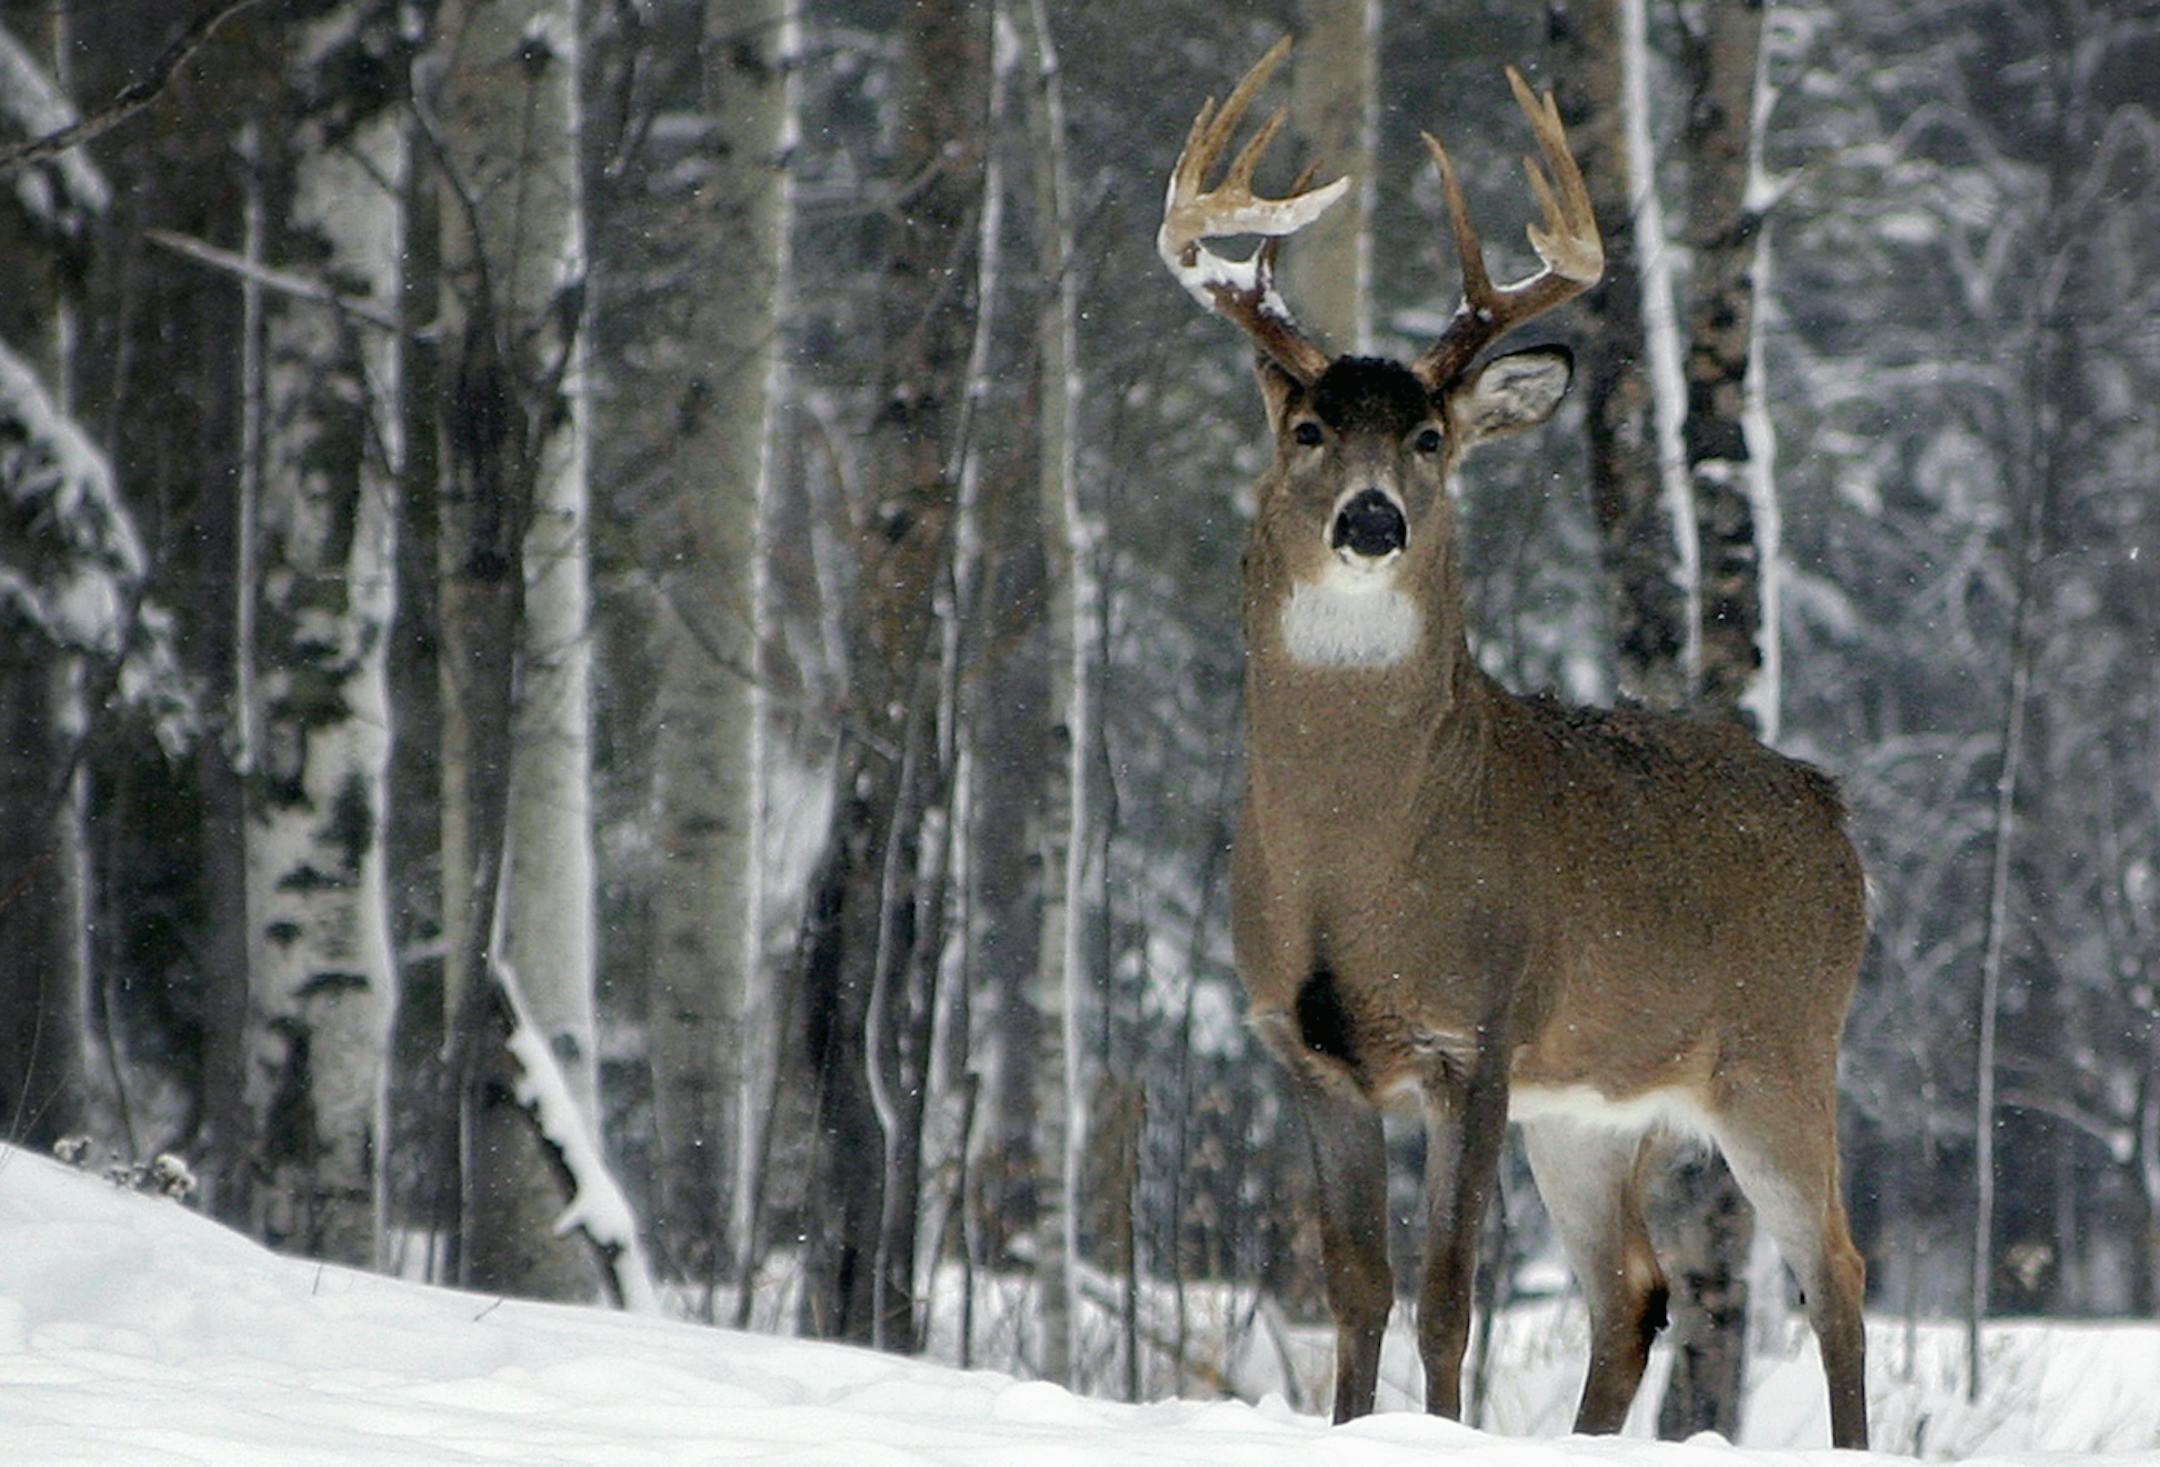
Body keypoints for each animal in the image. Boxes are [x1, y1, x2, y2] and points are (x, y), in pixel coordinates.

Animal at [1157, 39, 1869, 1450]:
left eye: (1430, 439)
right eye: (1309, 431)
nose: (1373, 520)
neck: (1360, 863)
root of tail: (1837, 816)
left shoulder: (1474, 1034)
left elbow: (1446, 1292)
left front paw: (1433, 1431)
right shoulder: (1305, 1047)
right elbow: (1357, 1287)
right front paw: (1355, 1428)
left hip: (1779, 1053)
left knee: (1837, 1274)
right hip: (1595, 1110)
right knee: (1635, 1290)